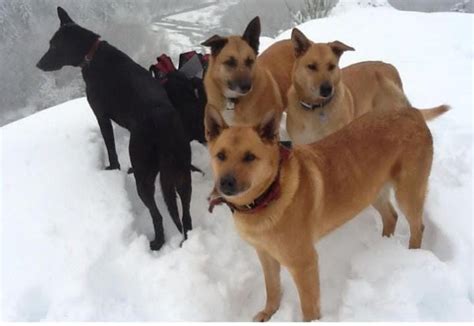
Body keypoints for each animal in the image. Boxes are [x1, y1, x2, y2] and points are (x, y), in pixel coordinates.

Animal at [36, 7, 196, 251]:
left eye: (53, 46)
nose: (38, 64)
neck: (91, 55)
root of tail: (164, 122)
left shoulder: (101, 116)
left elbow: (110, 147)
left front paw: (112, 168)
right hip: (181, 174)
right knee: (186, 216)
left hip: (145, 177)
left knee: (157, 214)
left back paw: (157, 242)